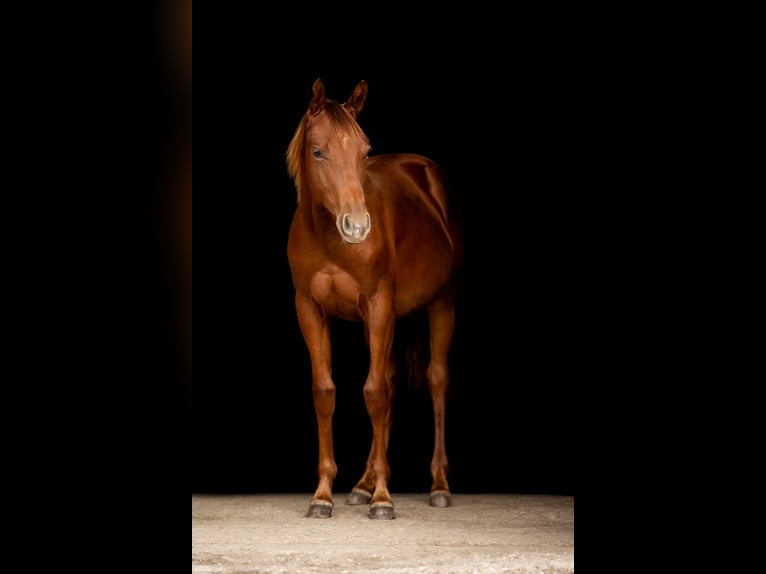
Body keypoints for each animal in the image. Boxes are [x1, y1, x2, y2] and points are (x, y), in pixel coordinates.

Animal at [286, 78, 463, 519]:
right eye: (318, 151)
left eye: (365, 151)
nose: (356, 226)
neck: (330, 242)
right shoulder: (309, 309)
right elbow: (326, 391)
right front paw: (323, 494)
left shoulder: (381, 304)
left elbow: (375, 393)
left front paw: (384, 498)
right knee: (393, 381)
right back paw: (362, 484)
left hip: (442, 305)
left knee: (436, 381)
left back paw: (438, 485)